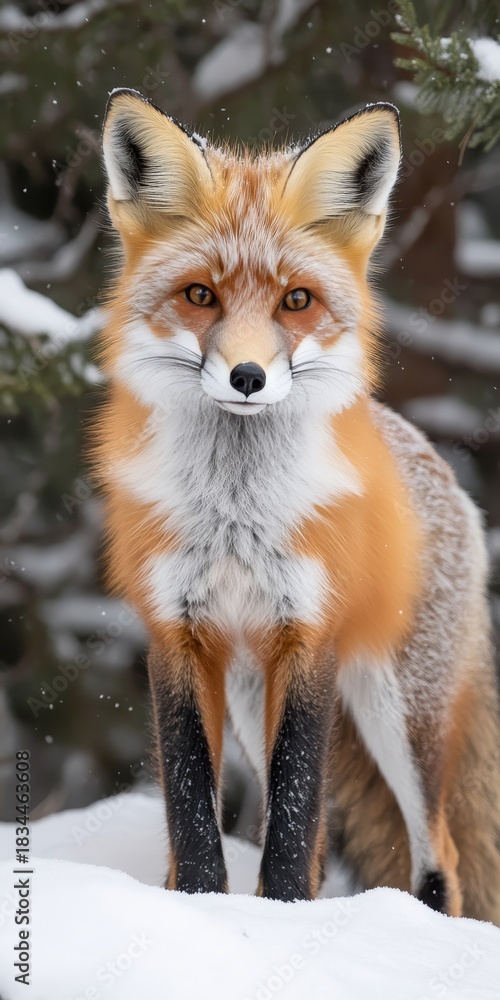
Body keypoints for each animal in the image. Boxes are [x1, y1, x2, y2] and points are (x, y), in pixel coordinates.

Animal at [96, 88, 500, 922]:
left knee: (439, 853)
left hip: (396, 708)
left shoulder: (309, 633)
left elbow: (292, 811)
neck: (235, 515)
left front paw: (275, 917)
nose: (248, 376)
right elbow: (193, 804)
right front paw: (202, 906)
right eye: (200, 295)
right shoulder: (176, 633)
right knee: (329, 845)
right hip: (257, 696)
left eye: (296, 301)